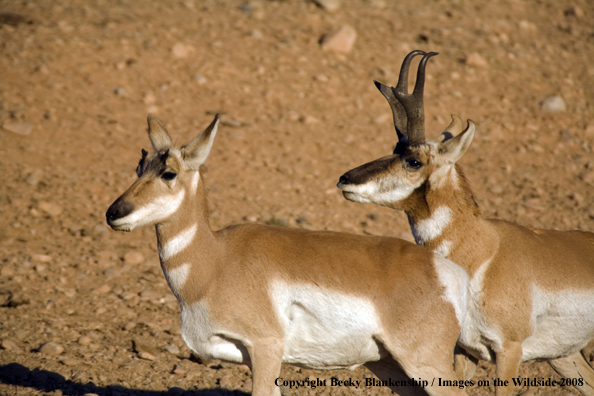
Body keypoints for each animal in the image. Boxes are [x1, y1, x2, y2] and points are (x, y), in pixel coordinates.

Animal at [104, 112, 470, 396]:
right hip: (391, 367)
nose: (114, 213)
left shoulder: (265, 348)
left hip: (425, 363)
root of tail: (447, 271)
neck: (216, 260)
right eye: (139, 167)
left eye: (169, 172)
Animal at [336, 50, 592, 396]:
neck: (482, 253)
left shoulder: (509, 350)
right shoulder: (465, 351)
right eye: (394, 149)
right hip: (564, 357)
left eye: (413, 160)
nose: (345, 179)